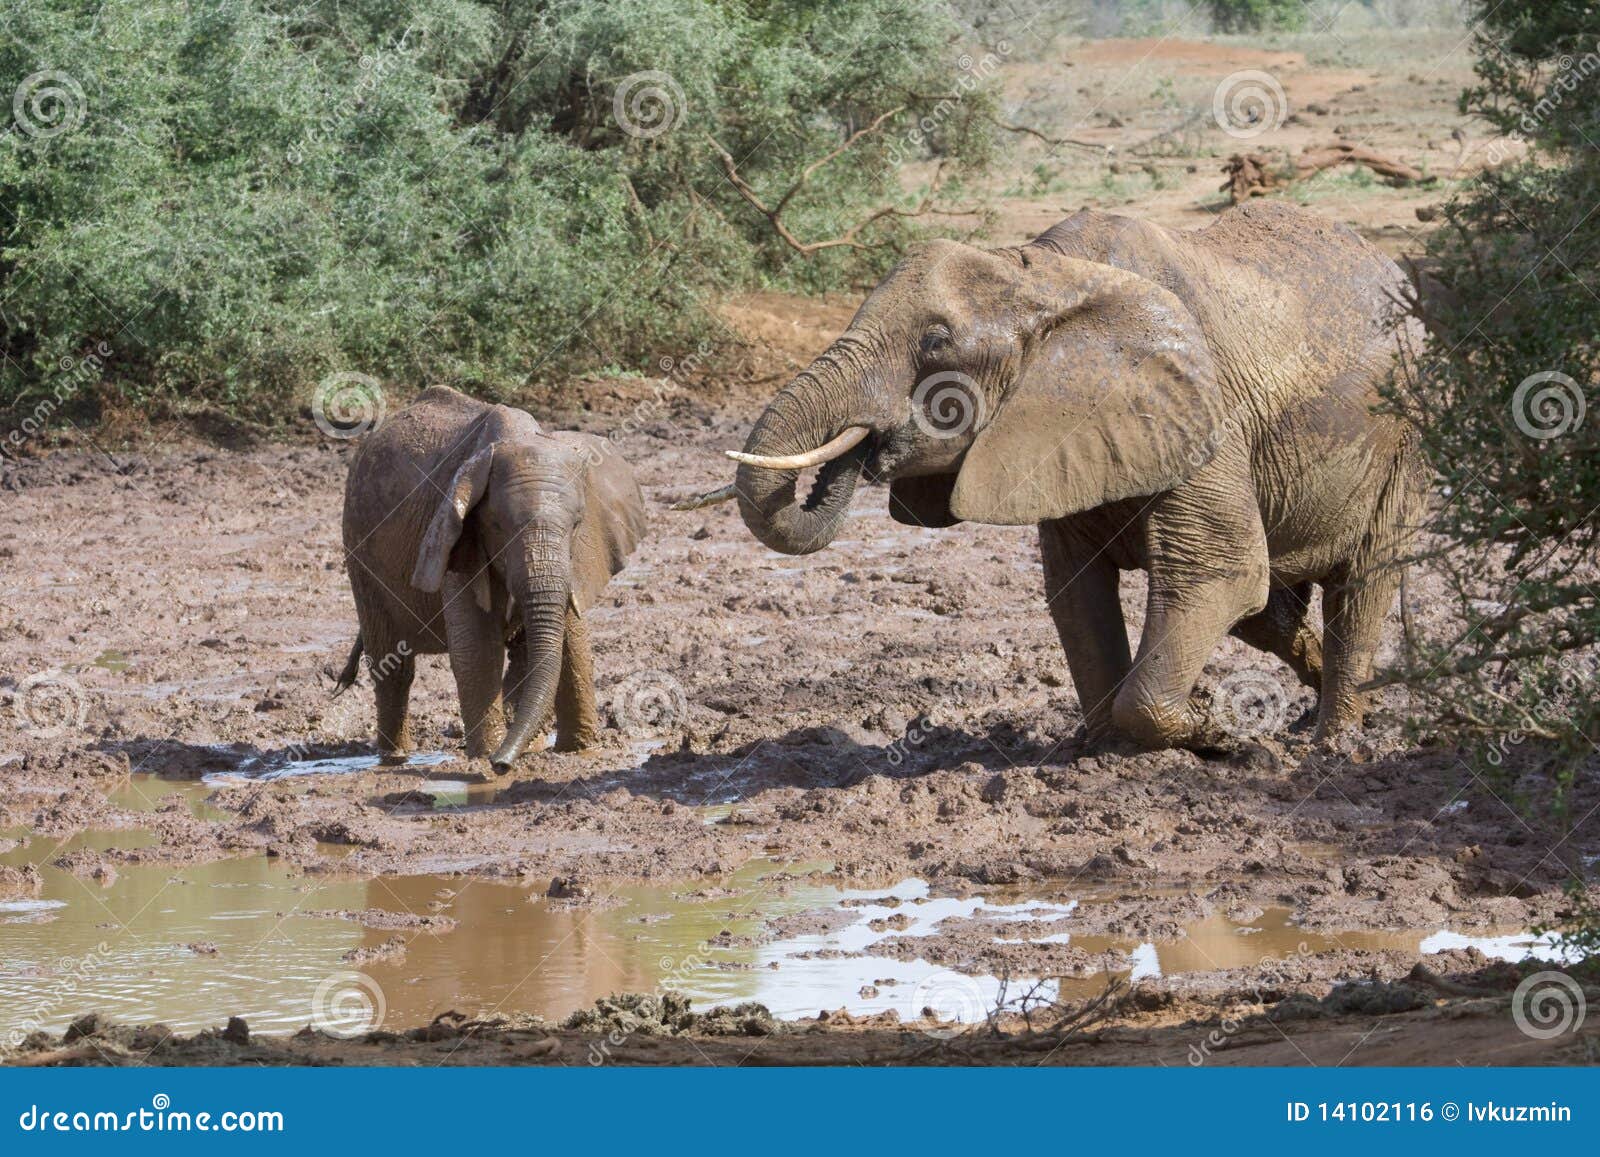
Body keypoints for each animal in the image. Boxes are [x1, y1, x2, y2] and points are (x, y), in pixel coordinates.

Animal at [338, 385, 647, 773]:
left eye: (577, 524)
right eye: (498, 526)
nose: (503, 764)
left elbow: (573, 641)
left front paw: (579, 751)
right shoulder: (456, 535)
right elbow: (477, 648)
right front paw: (486, 759)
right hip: (359, 550)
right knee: (392, 666)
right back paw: (394, 759)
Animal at [720, 201, 1424, 749]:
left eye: (935, 343)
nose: (859, 452)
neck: (1042, 275)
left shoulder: (1204, 416)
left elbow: (1216, 575)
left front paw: (1219, 735)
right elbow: (1076, 592)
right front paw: (1101, 749)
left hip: (1407, 437)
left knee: (1359, 588)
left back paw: (1331, 746)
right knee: (1270, 614)